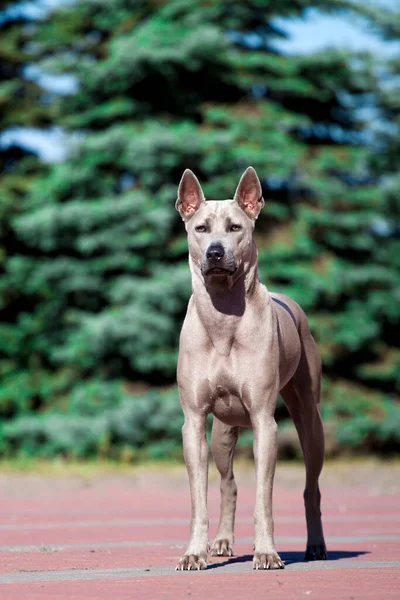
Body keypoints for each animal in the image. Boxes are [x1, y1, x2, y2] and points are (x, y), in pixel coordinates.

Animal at [174, 166, 324, 568]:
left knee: (311, 486)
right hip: (222, 432)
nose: (215, 252)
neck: (224, 314)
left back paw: (316, 546)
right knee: (228, 482)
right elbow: (198, 498)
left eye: (236, 227)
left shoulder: (263, 421)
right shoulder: (194, 420)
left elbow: (264, 497)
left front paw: (267, 552)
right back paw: (223, 541)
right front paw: (194, 553)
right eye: (201, 228)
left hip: (310, 419)